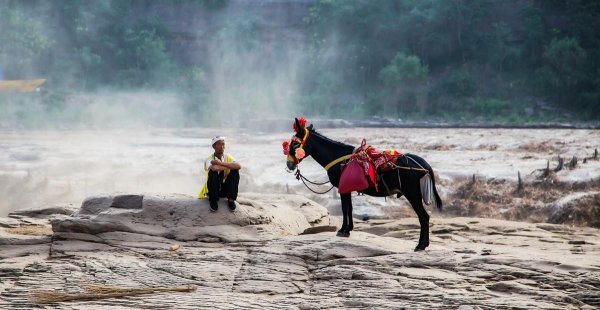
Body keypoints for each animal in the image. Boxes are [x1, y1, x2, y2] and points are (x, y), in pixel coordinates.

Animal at [284, 117, 442, 251]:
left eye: (296, 143)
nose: (289, 165)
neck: (339, 158)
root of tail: (424, 165)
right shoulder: (347, 188)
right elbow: (350, 208)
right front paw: (348, 229)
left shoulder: (343, 189)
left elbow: (344, 208)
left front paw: (342, 230)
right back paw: (424, 244)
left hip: (412, 193)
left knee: (423, 217)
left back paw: (420, 245)